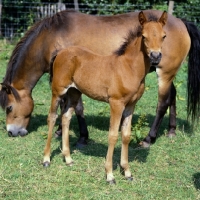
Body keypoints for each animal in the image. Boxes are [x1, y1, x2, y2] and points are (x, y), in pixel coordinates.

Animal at [43, 10, 167, 183]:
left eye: (164, 36)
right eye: (144, 36)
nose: (156, 56)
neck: (129, 68)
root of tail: (60, 52)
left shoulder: (131, 105)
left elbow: (126, 135)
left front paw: (127, 172)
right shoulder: (116, 103)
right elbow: (113, 135)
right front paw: (109, 175)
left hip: (74, 93)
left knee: (66, 117)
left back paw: (68, 159)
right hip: (58, 91)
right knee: (52, 117)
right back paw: (46, 159)